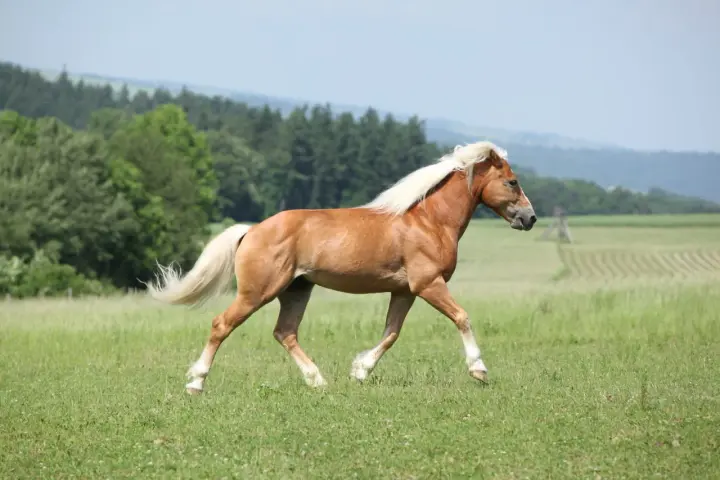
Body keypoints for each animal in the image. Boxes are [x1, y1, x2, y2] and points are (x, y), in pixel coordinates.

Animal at [147, 141, 537, 394]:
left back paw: (318, 381)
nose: (530, 218)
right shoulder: (429, 283)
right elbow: (461, 317)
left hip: (296, 290)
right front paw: (479, 370)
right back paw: (196, 382)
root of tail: (252, 230)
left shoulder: (404, 290)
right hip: (259, 291)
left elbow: (391, 334)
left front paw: (360, 371)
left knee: (285, 333)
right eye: (512, 181)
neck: (428, 221)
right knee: (222, 325)